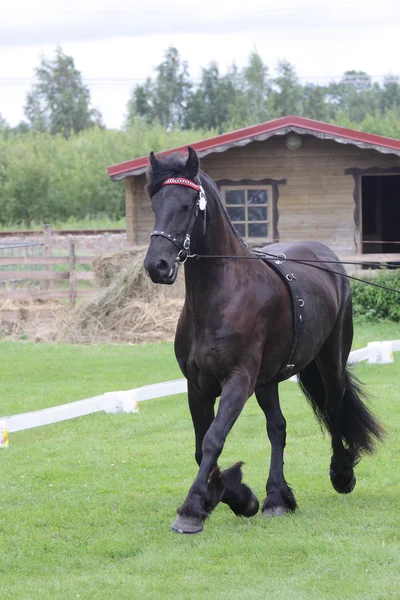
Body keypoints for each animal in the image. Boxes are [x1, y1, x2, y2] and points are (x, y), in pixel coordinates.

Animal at [144, 145, 384, 536]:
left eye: (187, 204)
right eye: (155, 203)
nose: (157, 266)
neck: (221, 296)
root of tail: (328, 259)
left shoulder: (238, 381)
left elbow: (213, 439)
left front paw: (192, 510)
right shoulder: (197, 385)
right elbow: (201, 446)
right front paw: (240, 497)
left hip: (330, 362)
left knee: (334, 407)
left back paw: (341, 474)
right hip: (268, 380)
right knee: (278, 428)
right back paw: (276, 498)